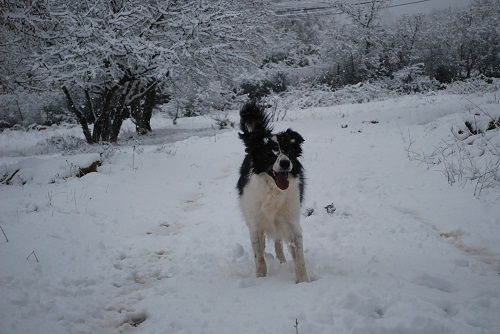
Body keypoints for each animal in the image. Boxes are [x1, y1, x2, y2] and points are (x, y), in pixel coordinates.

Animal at [235, 101, 308, 282]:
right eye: (271, 154)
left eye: (288, 152)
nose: (285, 163)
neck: (273, 190)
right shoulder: (255, 224)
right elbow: (259, 255)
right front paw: (261, 278)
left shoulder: (292, 221)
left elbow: (298, 255)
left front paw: (304, 282)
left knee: (278, 241)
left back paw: (282, 261)